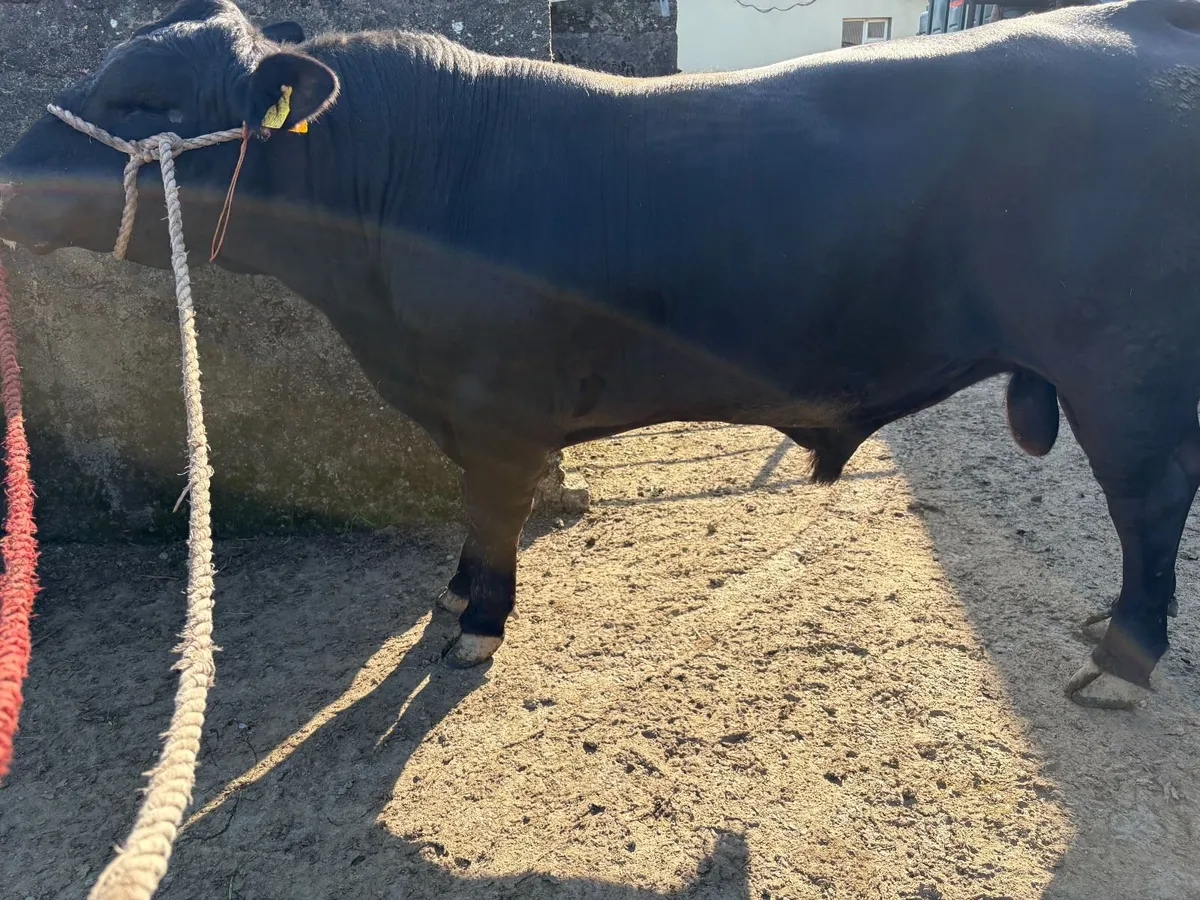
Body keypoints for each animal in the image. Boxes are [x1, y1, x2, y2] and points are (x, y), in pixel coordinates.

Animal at [2, 0, 1199, 708]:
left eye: (142, 97)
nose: (10, 177)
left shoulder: (497, 407)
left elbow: (495, 513)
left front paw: (478, 625)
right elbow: (470, 517)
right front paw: (452, 598)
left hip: (1125, 369)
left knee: (1149, 502)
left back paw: (1122, 657)